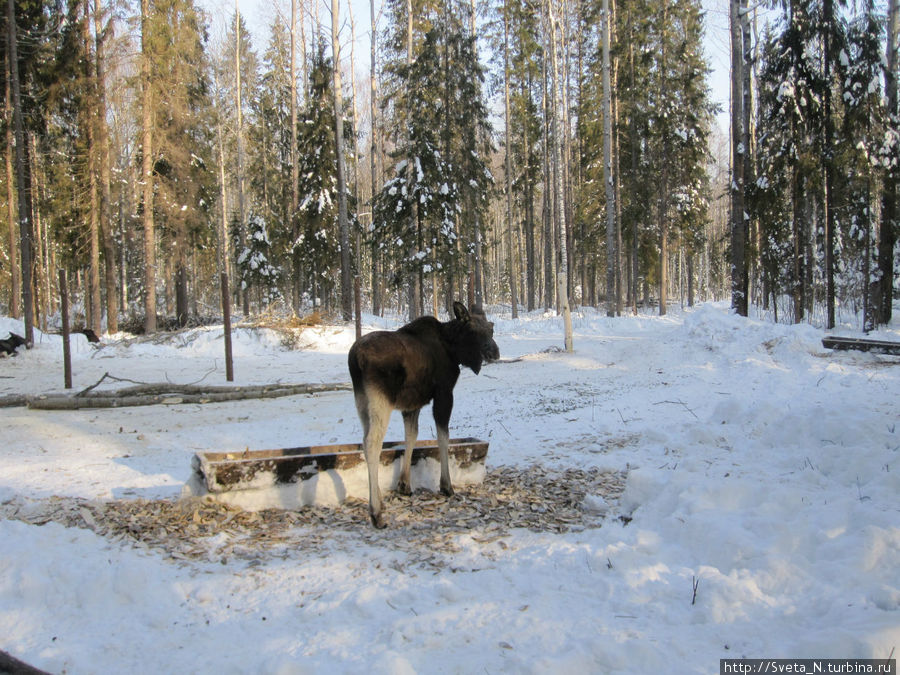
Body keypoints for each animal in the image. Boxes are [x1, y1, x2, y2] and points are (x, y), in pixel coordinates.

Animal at [348, 304, 500, 532]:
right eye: (472, 330)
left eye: (491, 328)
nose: (495, 352)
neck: (453, 350)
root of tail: (355, 359)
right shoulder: (444, 393)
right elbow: (443, 437)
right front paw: (446, 486)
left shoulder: (412, 404)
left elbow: (411, 436)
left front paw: (404, 484)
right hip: (380, 400)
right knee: (372, 443)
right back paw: (376, 513)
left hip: (361, 401)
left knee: (365, 441)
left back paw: (379, 502)